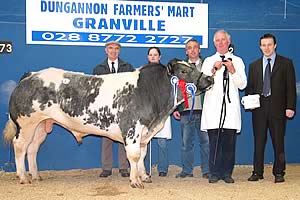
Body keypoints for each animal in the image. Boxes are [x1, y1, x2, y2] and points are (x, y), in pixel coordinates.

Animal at [2, 58, 213, 188]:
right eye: (184, 70)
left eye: (194, 66)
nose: (210, 78)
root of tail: (31, 75)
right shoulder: (132, 129)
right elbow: (134, 156)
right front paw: (135, 181)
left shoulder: (144, 132)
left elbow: (143, 156)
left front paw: (144, 176)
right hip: (27, 123)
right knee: (20, 146)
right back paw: (23, 177)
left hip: (41, 125)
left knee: (32, 149)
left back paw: (36, 175)